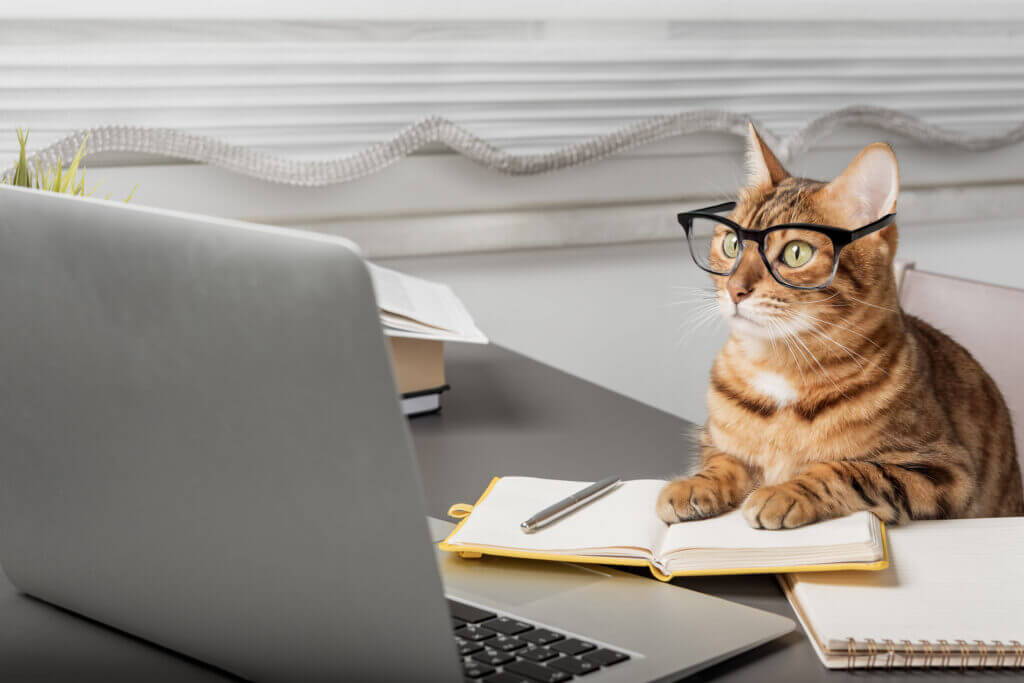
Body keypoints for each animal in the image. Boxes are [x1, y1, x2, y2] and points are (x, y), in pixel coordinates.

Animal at [655, 125, 1024, 528]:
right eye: (733, 244)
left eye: (796, 253)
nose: (735, 289)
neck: (779, 368)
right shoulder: (712, 439)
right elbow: (723, 459)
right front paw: (696, 483)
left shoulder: (946, 472)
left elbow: (848, 469)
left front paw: (785, 491)